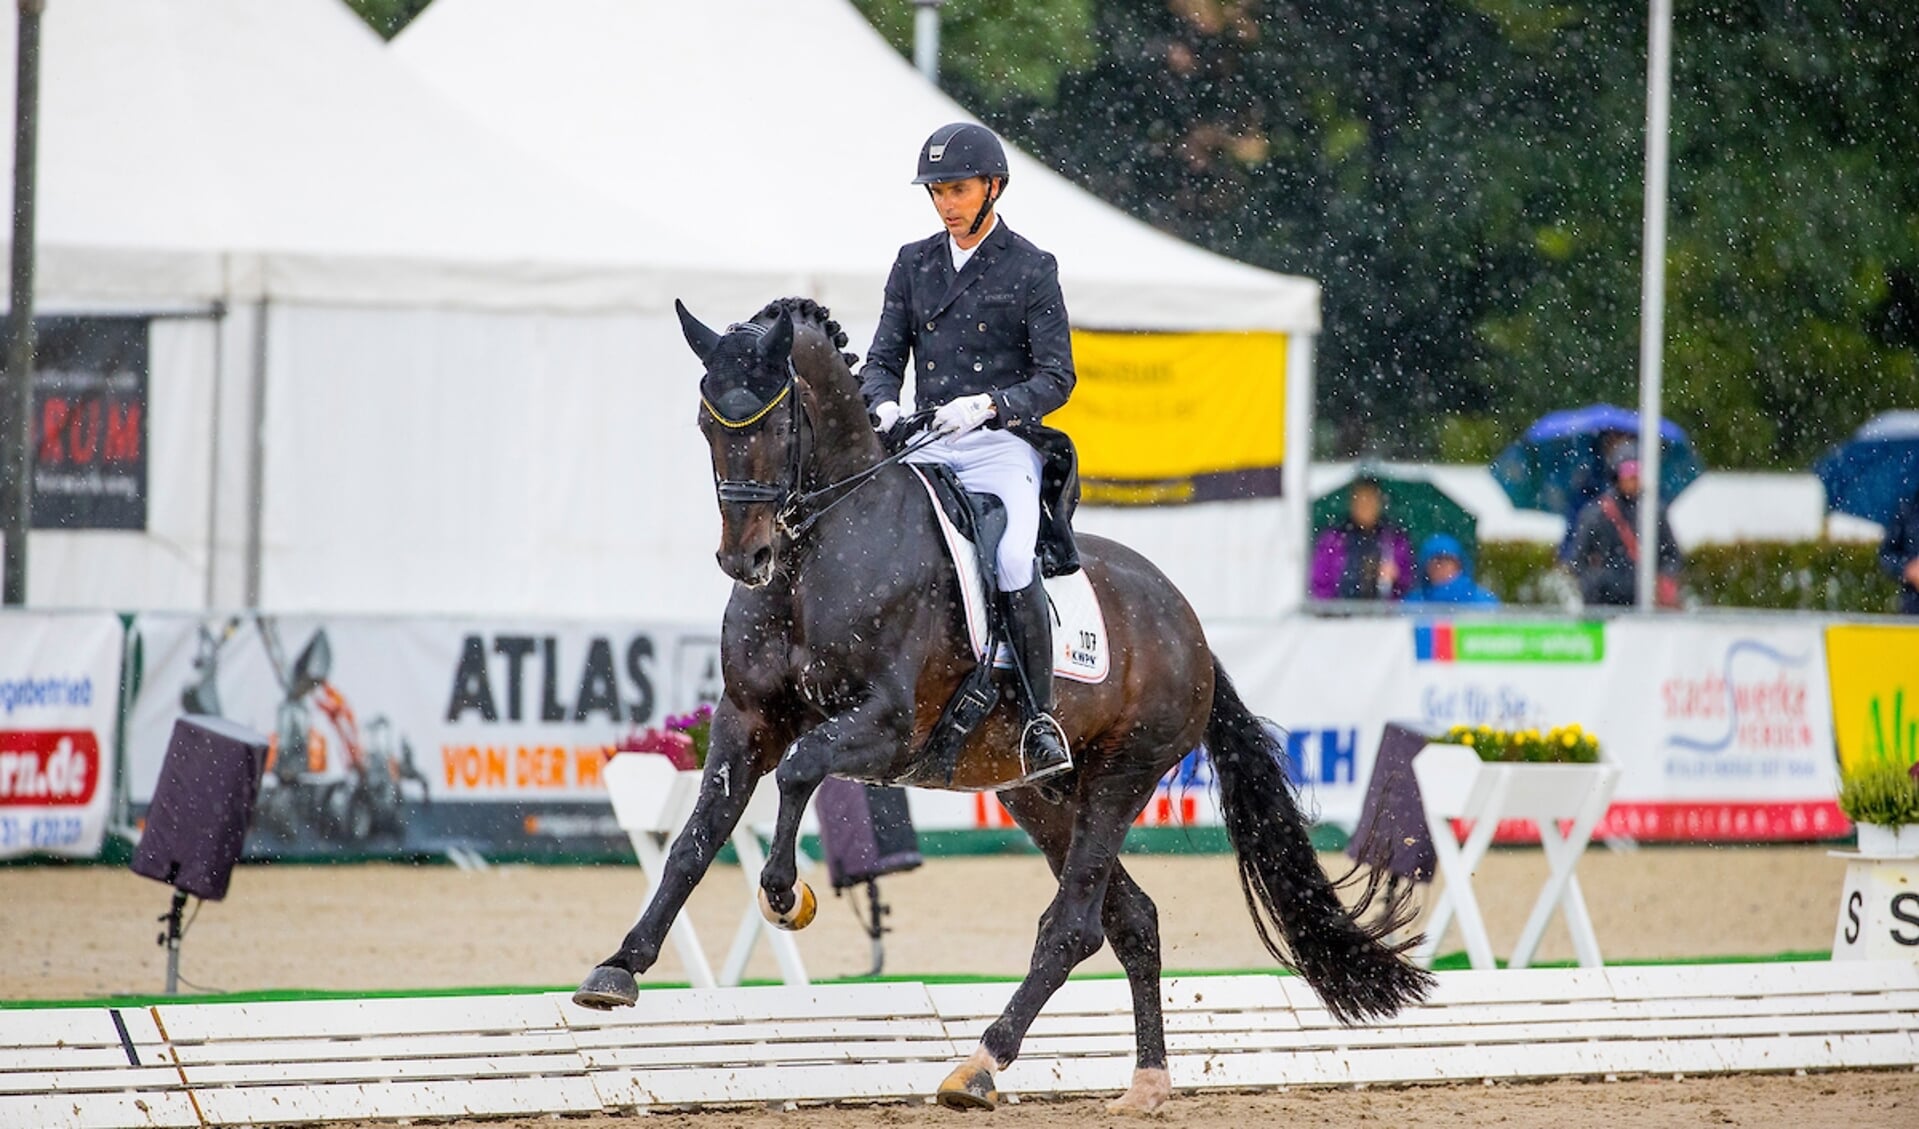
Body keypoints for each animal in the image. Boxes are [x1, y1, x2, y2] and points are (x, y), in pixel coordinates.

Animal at [575, 297, 1435, 1113]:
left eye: (780, 419)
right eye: (705, 421)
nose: (743, 556)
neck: (818, 555)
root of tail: (1185, 621)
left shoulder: (888, 727)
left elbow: (798, 771)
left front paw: (786, 894)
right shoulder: (746, 718)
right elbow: (696, 836)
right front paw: (618, 968)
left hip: (1122, 774)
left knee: (1072, 925)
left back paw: (980, 1064)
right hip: (1042, 794)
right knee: (1131, 918)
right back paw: (1146, 1081)